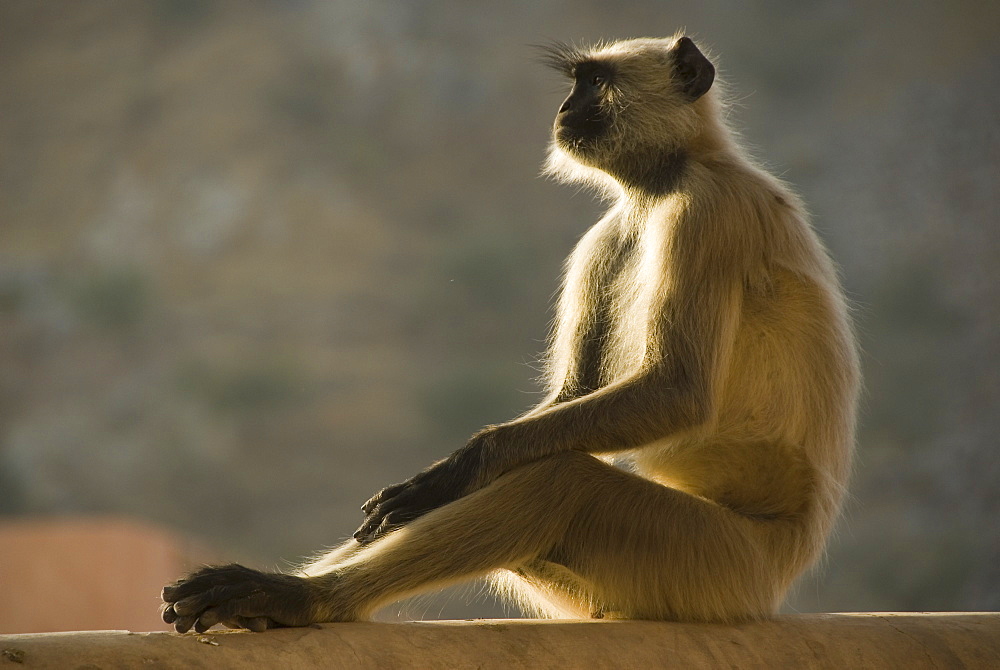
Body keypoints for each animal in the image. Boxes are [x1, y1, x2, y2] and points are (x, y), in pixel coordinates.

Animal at [162, 35, 860, 636]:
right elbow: (576, 395)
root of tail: (778, 579)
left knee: (558, 483)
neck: (666, 181)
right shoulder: (604, 237)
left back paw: (307, 598)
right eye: (578, 82)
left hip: (714, 567)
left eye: (595, 83)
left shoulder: (707, 213)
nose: (564, 108)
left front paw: (455, 469)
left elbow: (677, 391)